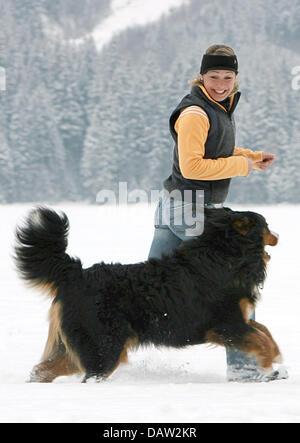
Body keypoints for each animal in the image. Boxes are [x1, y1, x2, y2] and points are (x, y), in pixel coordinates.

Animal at [14, 206, 282, 384]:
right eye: (267, 225)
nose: (278, 235)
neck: (226, 254)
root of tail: (75, 273)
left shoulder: (236, 321)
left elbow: (265, 331)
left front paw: (277, 357)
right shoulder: (226, 325)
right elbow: (260, 339)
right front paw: (270, 363)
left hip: (78, 345)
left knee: (42, 370)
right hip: (104, 345)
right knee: (91, 375)